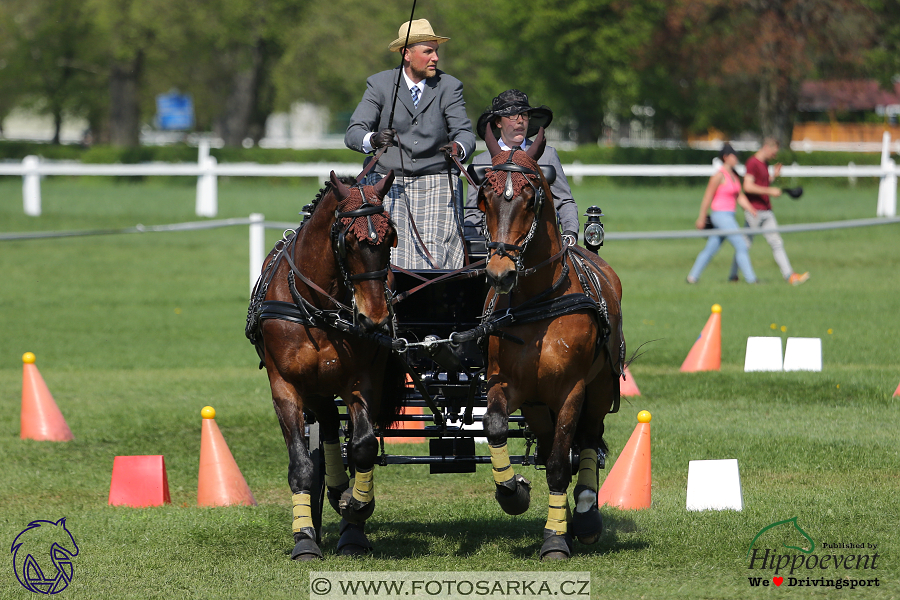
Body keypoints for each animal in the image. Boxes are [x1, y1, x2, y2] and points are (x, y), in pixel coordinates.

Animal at [243, 171, 404, 560]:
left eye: (389, 237)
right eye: (349, 240)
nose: (374, 318)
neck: (319, 307)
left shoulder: (362, 381)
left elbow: (363, 446)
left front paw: (357, 506)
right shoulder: (286, 386)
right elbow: (301, 465)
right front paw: (304, 537)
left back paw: (350, 520)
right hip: (315, 387)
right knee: (329, 424)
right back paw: (334, 489)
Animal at [472, 127, 624, 564]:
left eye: (531, 196)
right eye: (483, 197)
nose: (499, 272)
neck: (538, 303)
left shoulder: (571, 389)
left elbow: (559, 463)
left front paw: (555, 538)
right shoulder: (506, 384)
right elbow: (495, 427)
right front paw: (513, 492)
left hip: (598, 387)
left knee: (585, 441)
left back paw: (585, 517)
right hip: (538, 406)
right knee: (546, 443)